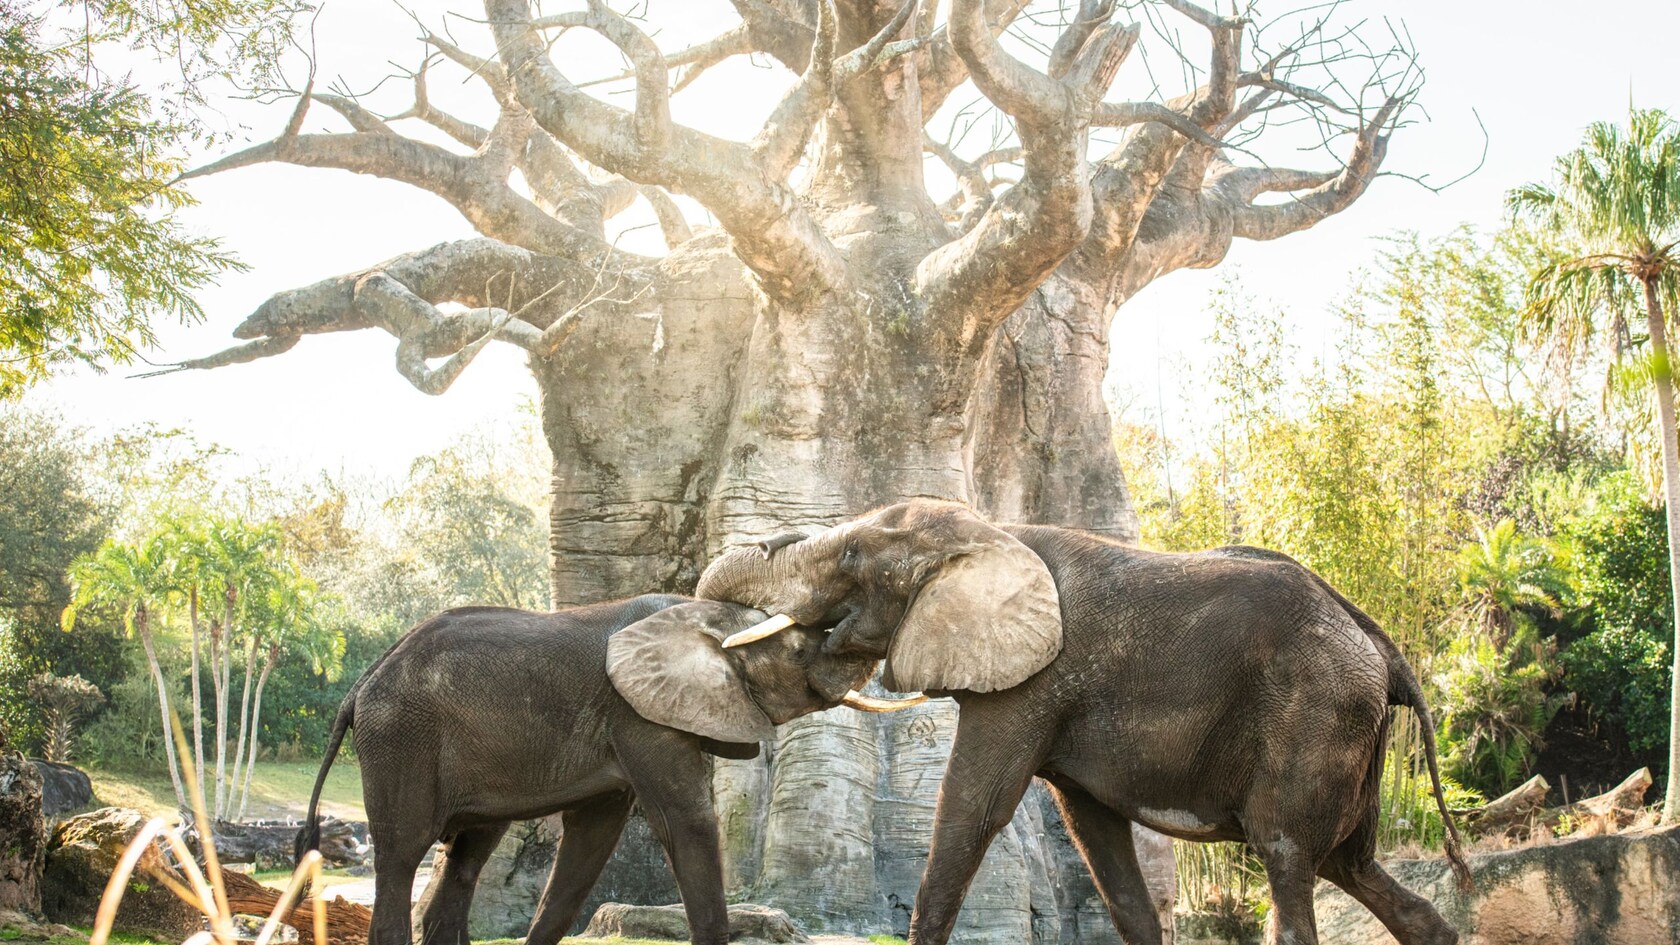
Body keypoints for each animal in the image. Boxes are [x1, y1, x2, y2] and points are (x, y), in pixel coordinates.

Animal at [294, 595, 900, 945]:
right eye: (798, 650)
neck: (703, 613)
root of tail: (359, 686)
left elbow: (593, 837)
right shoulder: (636, 713)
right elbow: (685, 823)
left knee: (466, 858)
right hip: (401, 741)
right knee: (401, 854)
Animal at [697, 499, 1473, 945]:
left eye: (854, 558)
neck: (993, 532)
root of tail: (1384, 650)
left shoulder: (1033, 682)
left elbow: (975, 809)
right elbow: (1095, 834)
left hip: (1314, 716)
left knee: (1285, 857)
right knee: (1352, 866)